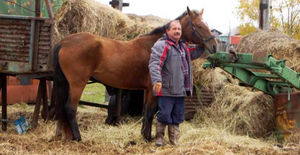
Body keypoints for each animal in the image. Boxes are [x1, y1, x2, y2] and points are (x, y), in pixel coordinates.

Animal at [51, 7, 216, 141]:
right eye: (199, 26)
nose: (214, 46)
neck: (153, 46)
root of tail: (65, 42)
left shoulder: (146, 90)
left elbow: (145, 111)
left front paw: (144, 135)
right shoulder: (153, 89)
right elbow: (150, 111)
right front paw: (148, 138)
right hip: (78, 83)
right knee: (70, 108)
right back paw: (78, 137)